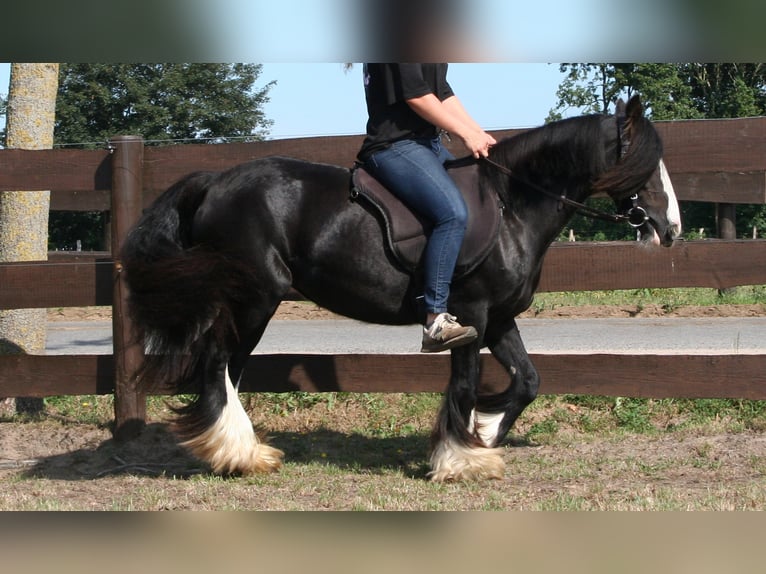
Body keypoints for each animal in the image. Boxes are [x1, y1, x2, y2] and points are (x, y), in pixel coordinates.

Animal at [123, 97, 680, 484]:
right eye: (646, 163)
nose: (670, 227)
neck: (511, 207)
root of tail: (214, 181)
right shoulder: (470, 315)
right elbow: (466, 384)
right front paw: (462, 458)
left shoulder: (500, 318)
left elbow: (527, 381)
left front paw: (483, 435)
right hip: (254, 299)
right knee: (218, 366)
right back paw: (240, 454)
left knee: (224, 370)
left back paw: (234, 452)